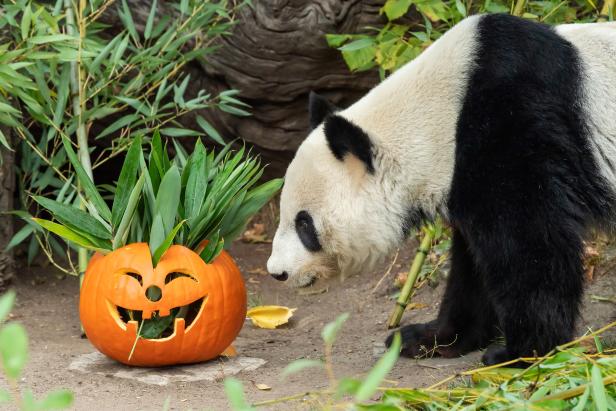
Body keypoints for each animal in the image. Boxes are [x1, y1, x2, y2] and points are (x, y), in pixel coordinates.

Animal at [266, 13, 616, 366]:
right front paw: (430, 338)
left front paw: (522, 352)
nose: (277, 272)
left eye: (304, 223)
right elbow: (472, 264)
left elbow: (530, 244)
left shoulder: (514, 129)